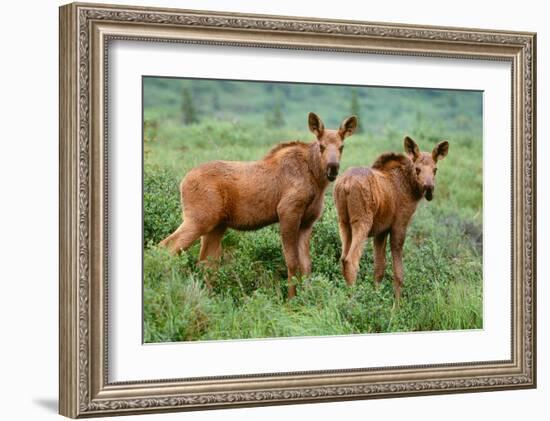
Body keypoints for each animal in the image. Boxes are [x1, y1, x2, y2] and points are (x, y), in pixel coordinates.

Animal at [161, 110, 358, 296]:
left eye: (342, 147)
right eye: (321, 145)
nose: (333, 168)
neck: (316, 180)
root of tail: (183, 181)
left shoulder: (307, 222)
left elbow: (306, 265)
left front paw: (308, 299)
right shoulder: (287, 212)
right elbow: (292, 262)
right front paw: (291, 301)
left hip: (216, 226)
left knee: (206, 263)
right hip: (199, 219)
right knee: (167, 247)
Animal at [334, 136, 450, 300]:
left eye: (435, 169)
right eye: (417, 169)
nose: (429, 188)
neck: (410, 188)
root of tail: (345, 184)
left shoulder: (381, 231)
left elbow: (379, 269)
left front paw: (377, 298)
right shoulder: (399, 225)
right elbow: (399, 273)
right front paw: (396, 305)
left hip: (343, 222)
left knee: (343, 258)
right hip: (361, 221)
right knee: (351, 260)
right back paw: (353, 300)